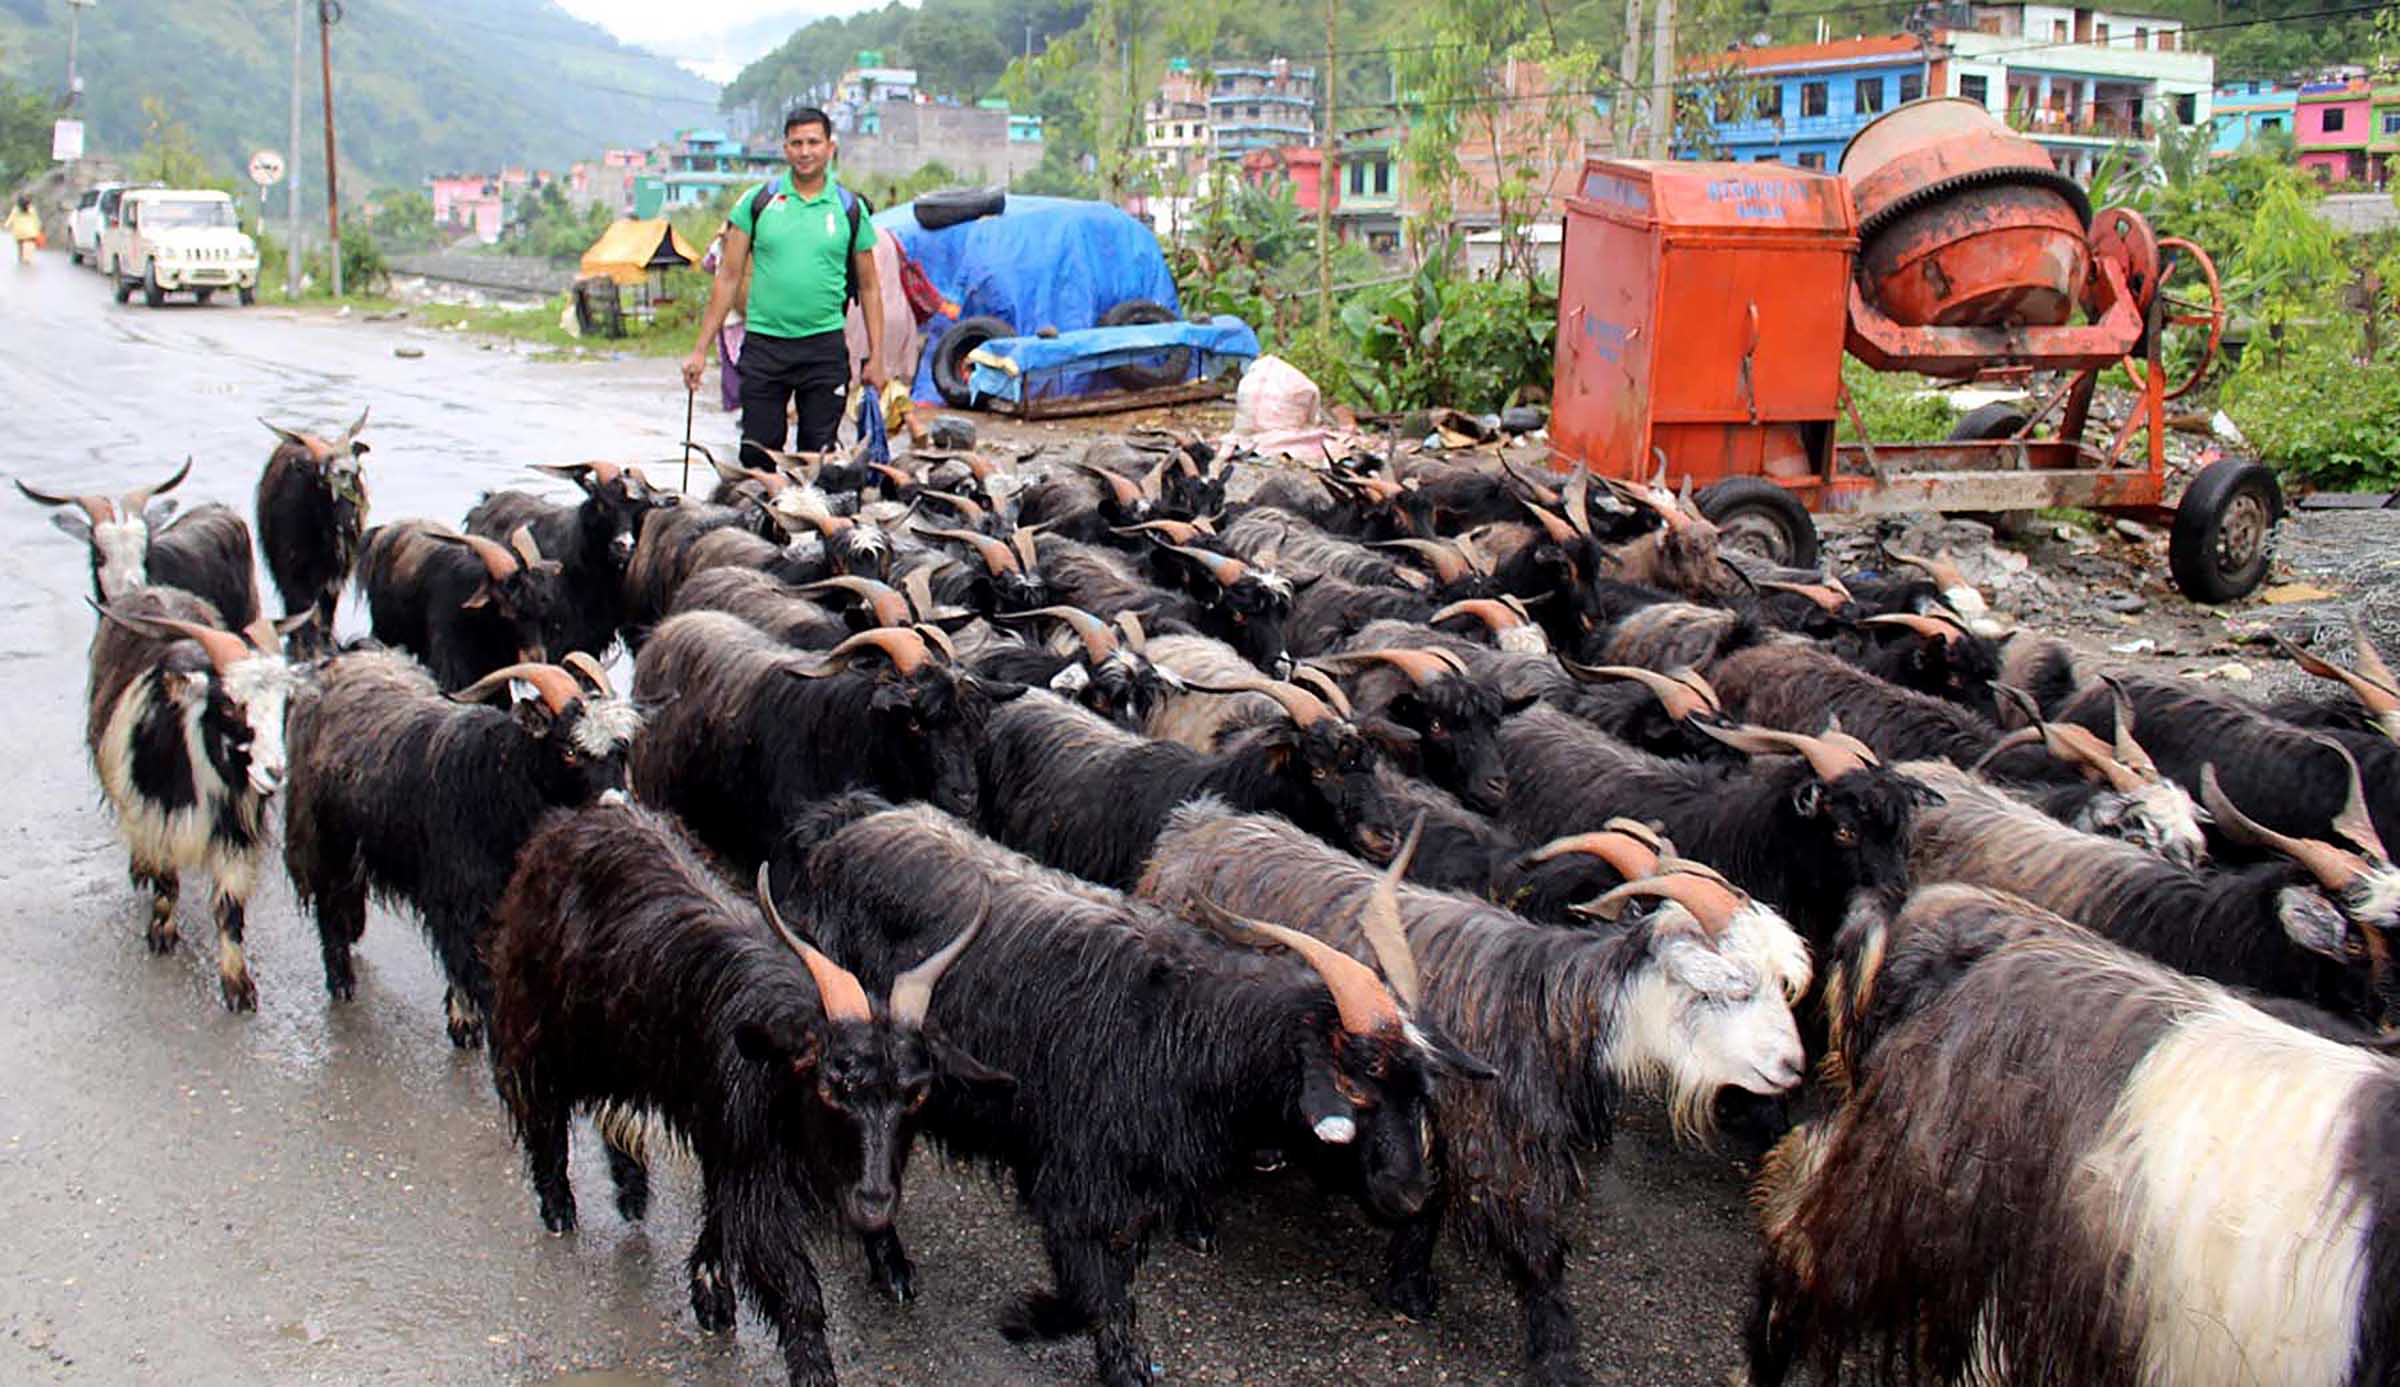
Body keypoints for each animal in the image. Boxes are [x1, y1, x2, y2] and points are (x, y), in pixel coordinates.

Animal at [82, 590, 304, 1003]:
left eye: (287, 703)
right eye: (230, 703)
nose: (275, 773)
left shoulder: (235, 829)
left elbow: (230, 908)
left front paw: (238, 984)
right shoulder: (156, 816)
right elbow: (168, 882)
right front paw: (162, 934)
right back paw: (140, 870)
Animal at [282, 652, 643, 1041]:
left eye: (621, 747)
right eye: (570, 750)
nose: (615, 805)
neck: (499, 776)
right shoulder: (457, 895)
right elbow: (466, 959)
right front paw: (470, 1025)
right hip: (324, 839)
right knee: (329, 903)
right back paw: (342, 984)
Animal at [492, 796, 998, 1382]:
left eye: (916, 1094)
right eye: (833, 1086)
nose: (874, 1204)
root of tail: (579, 820)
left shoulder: (728, 1136)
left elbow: (719, 1216)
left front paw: (712, 1294)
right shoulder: (755, 1172)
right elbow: (791, 1283)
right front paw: (813, 1370)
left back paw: (632, 1191)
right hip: (546, 1026)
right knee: (540, 1104)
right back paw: (559, 1208)